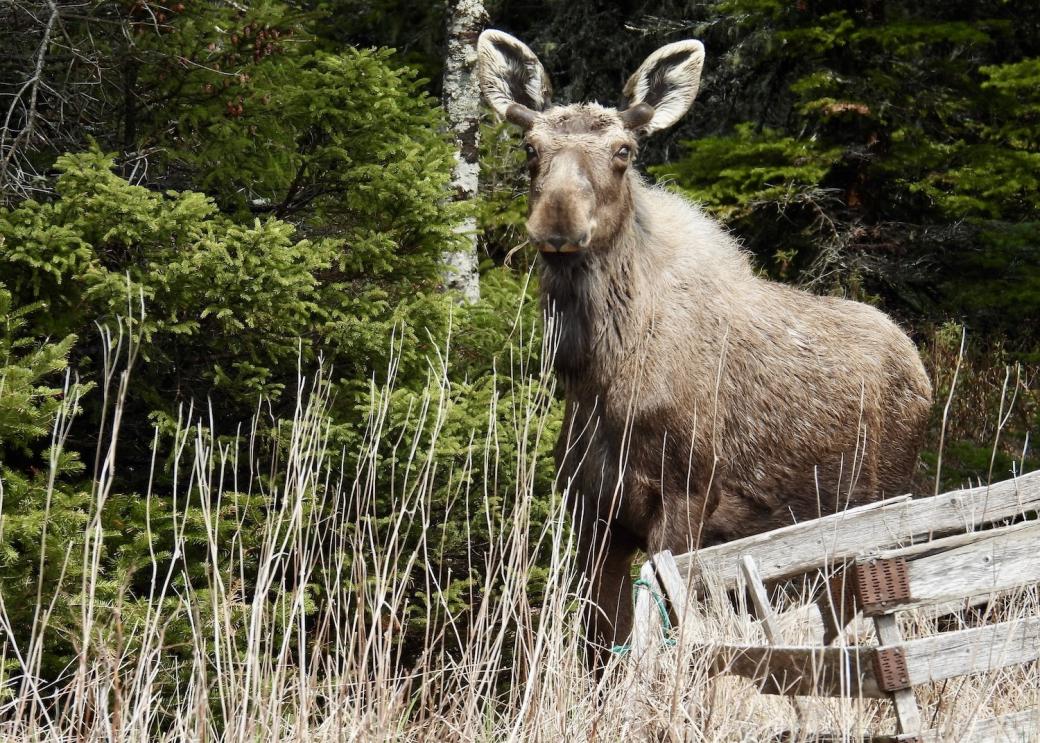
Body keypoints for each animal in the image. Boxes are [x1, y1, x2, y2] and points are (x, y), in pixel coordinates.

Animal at [477, 30, 933, 665]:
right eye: (529, 147)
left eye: (624, 150)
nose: (558, 219)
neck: (600, 378)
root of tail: (920, 368)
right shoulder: (592, 514)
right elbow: (601, 645)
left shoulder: (688, 501)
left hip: (879, 511)